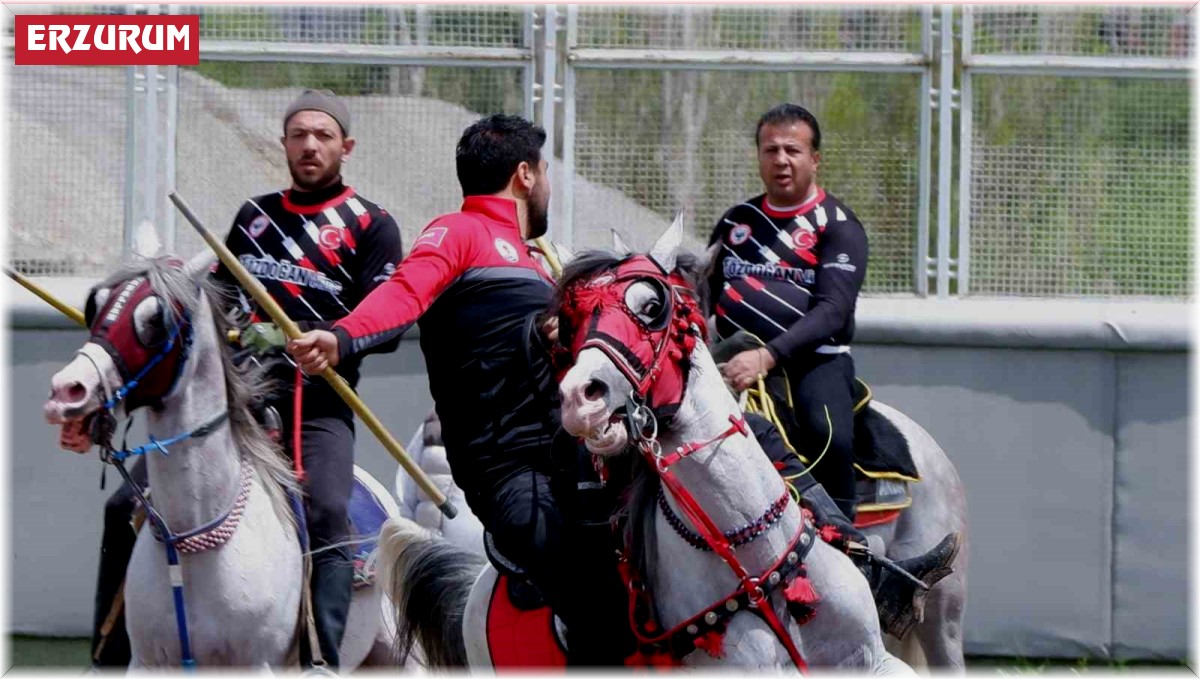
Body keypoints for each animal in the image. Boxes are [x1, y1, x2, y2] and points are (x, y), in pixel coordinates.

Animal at [43, 256, 398, 671]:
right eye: (96, 305)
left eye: (155, 320)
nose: (67, 391)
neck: (190, 548)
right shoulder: (146, 663)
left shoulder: (257, 665)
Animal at [379, 223, 912, 676]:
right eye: (572, 323)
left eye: (652, 306)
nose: (580, 399)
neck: (752, 567)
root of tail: (476, 587)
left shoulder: (875, 661)